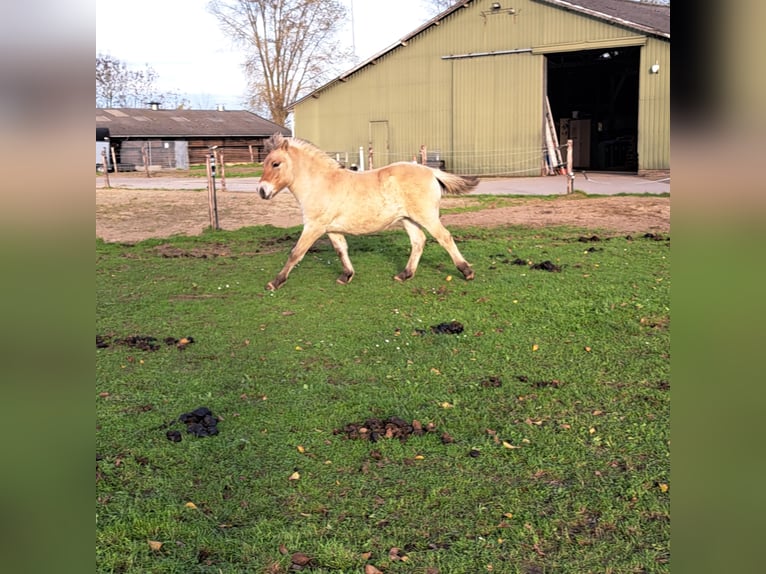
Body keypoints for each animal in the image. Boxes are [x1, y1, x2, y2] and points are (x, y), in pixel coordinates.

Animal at [256, 133, 478, 291]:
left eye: (275, 164)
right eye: (264, 163)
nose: (261, 191)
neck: (321, 183)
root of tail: (431, 171)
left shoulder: (314, 226)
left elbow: (296, 253)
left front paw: (275, 282)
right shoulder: (331, 229)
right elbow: (341, 250)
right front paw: (346, 276)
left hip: (426, 216)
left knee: (444, 237)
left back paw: (466, 271)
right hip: (408, 218)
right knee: (418, 241)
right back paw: (404, 274)